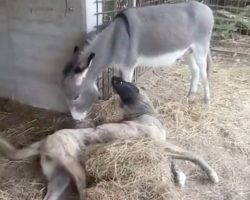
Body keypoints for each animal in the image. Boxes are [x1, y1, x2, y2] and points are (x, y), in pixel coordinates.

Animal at [0, 76, 218, 199]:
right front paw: (211, 173)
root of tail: (46, 140)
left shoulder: (161, 146)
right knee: (82, 191)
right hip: (74, 166)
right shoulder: (160, 144)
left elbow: (174, 161)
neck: (142, 112)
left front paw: (178, 174)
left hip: (60, 179)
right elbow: (193, 155)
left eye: (126, 82)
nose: (114, 75)